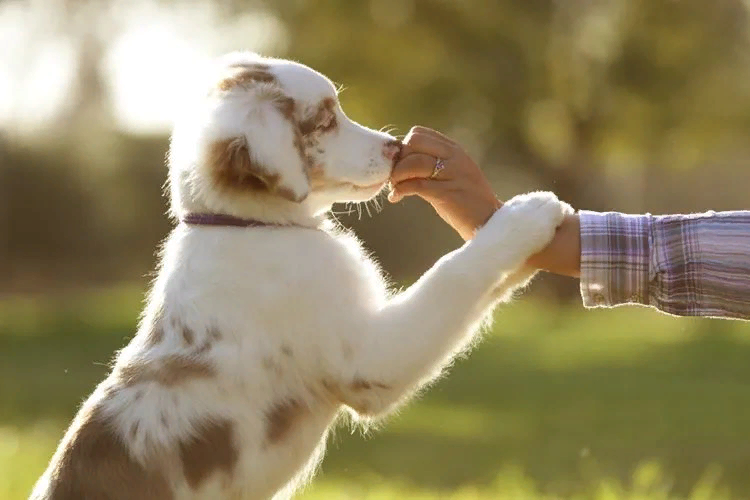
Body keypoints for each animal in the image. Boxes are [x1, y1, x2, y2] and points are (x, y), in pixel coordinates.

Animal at [27, 52, 568, 498]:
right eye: (325, 120)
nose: (396, 148)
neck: (252, 225)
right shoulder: (371, 358)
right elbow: (452, 275)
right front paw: (528, 214)